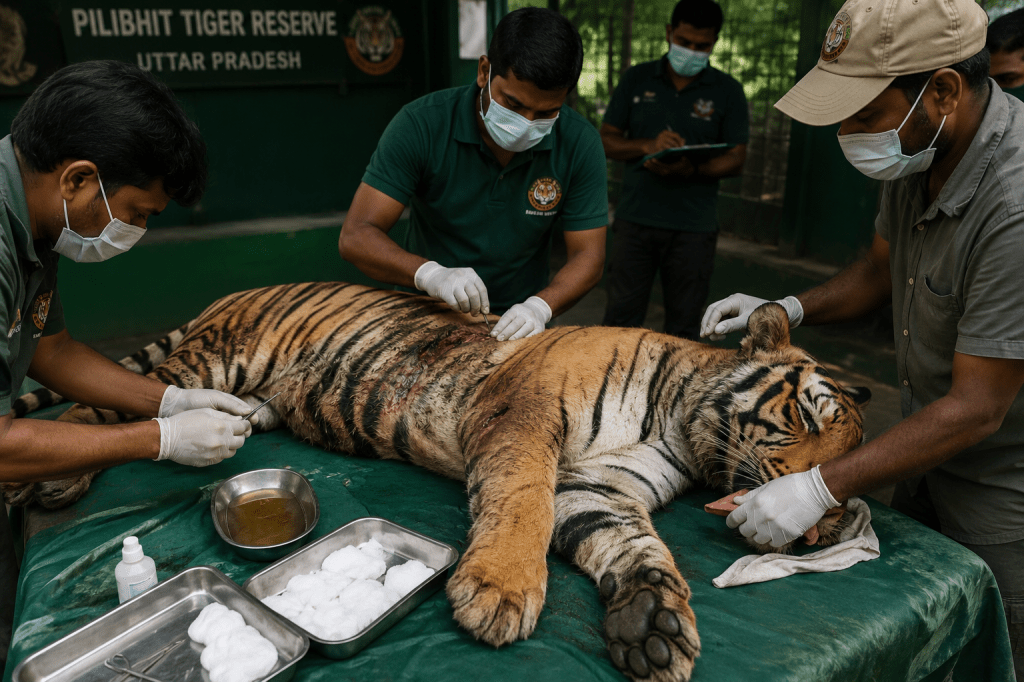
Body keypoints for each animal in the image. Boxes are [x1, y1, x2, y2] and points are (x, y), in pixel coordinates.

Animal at [5, 282, 869, 682]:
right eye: (810, 415)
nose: (819, 528)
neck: (681, 427)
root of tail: (232, 293)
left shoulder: (600, 491)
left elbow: (640, 553)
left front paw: (653, 627)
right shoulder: (526, 414)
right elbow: (520, 502)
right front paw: (500, 593)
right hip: (210, 363)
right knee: (115, 402)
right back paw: (51, 487)